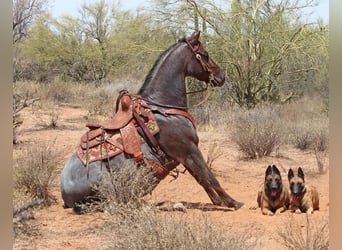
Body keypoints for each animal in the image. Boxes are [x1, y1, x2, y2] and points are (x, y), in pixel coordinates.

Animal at [60, 31, 243, 211]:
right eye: (205, 54)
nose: (221, 76)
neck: (163, 109)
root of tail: (65, 194)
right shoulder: (190, 150)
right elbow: (210, 176)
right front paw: (233, 202)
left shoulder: (184, 156)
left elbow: (201, 178)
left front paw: (217, 201)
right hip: (107, 185)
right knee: (113, 205)